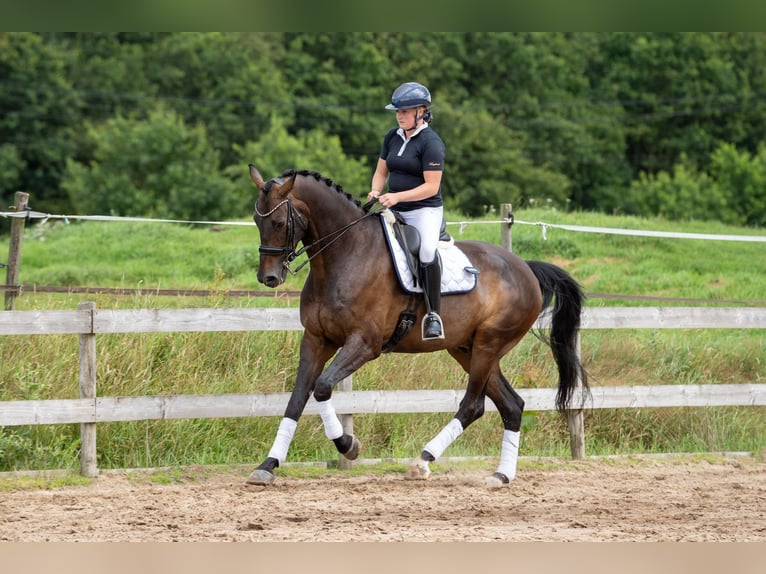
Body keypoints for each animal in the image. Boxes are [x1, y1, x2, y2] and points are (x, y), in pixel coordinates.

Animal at [246, 164, 589, 488]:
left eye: (279, 223)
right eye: (256, 221)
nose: (268, 278)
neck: (344, 254)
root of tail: (525, 268)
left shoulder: (364, 344)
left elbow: (322, 387)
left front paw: (348, 445)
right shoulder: (316, 340)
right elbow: (297, 398)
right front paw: (268, 465)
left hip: (488, 346)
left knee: (473, 405)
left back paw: (423, 461)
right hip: (466, 349)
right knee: (512, 405)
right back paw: (501, 475)